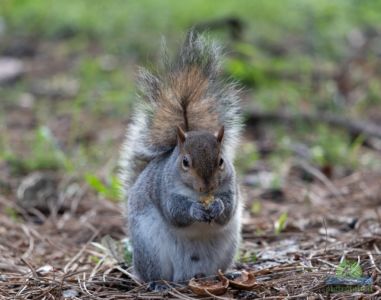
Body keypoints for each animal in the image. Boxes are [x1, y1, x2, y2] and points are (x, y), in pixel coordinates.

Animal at [119, 31, 243, 284]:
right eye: (185, 162)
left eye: (221, 161)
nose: (207, 187)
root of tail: (189, 275)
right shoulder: (164, 189)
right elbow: (174, 211)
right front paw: (195, 210)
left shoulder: (230, 187)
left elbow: (228, 209)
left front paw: (217, 206)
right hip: (151, 250)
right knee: (153, 273)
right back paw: (157, 284)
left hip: (227, 248)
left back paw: (228, 273)